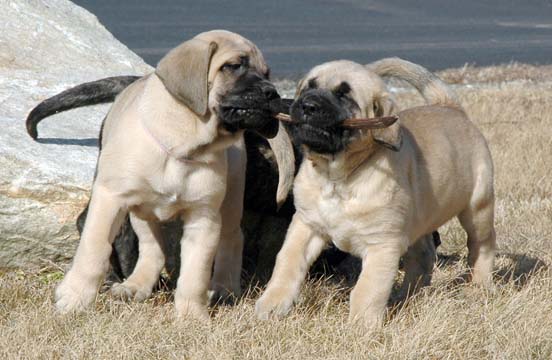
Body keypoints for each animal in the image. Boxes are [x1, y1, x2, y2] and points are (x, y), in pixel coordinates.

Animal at [27, 29, 294, 320]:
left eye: (267, 73)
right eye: (233, 66)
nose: (272, 93)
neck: (182, 145)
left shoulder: (203, 218)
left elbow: (195, 272)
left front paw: (191, 316)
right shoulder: (110, 199)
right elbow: (94, 249)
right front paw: (74, 299)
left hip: (232, 196)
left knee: (232, 237)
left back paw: (224, 289)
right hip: (138, 208)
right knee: (148, 245)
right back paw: (135, 284)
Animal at [256, 57, 498, 330]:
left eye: (344, 95)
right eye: (309, 86)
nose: (307, 105)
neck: (338, 179)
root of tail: (449, 107)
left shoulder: (382, 244)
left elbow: (368, 288)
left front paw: (361, 326)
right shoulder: (306, 225)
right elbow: (287, 263)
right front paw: (271, 305)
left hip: (477, 206)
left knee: (482, 243)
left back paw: (479, 286)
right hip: (417, 219)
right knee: (423, 255)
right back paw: (406, 297)